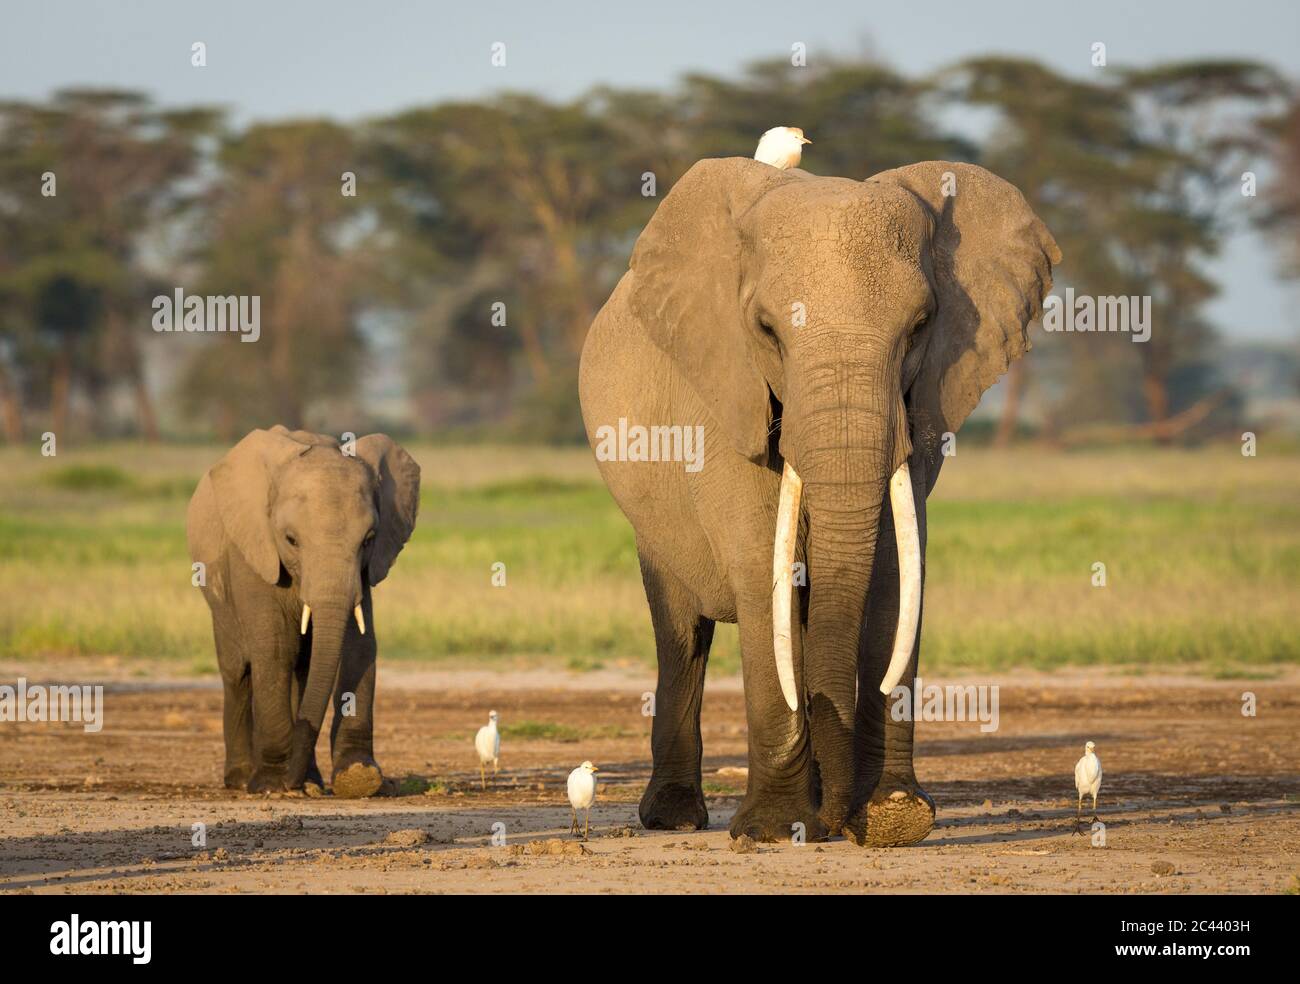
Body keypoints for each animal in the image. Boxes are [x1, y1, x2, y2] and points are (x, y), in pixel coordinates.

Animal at [188, 426, 418, 795]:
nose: (292, 783)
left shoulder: (363, 573)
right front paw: (271, 785)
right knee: (238, 670)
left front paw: (358, 778)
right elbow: (273, 648)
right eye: (290, 540)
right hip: (216, 595)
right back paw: (242, 779)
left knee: (304, 670)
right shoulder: (254, 552)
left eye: (368, 539)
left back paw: (310, 779)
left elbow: (360, 647)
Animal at [585, 155, 1060, 842]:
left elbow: (895, 577)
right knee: (680, 631)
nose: (841, 821)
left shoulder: (922, 405)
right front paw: (777, 828)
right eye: (766, 330)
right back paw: (676, 818)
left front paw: (892, 819)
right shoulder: (722, 397)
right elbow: (765, 571)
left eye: (920, 327)